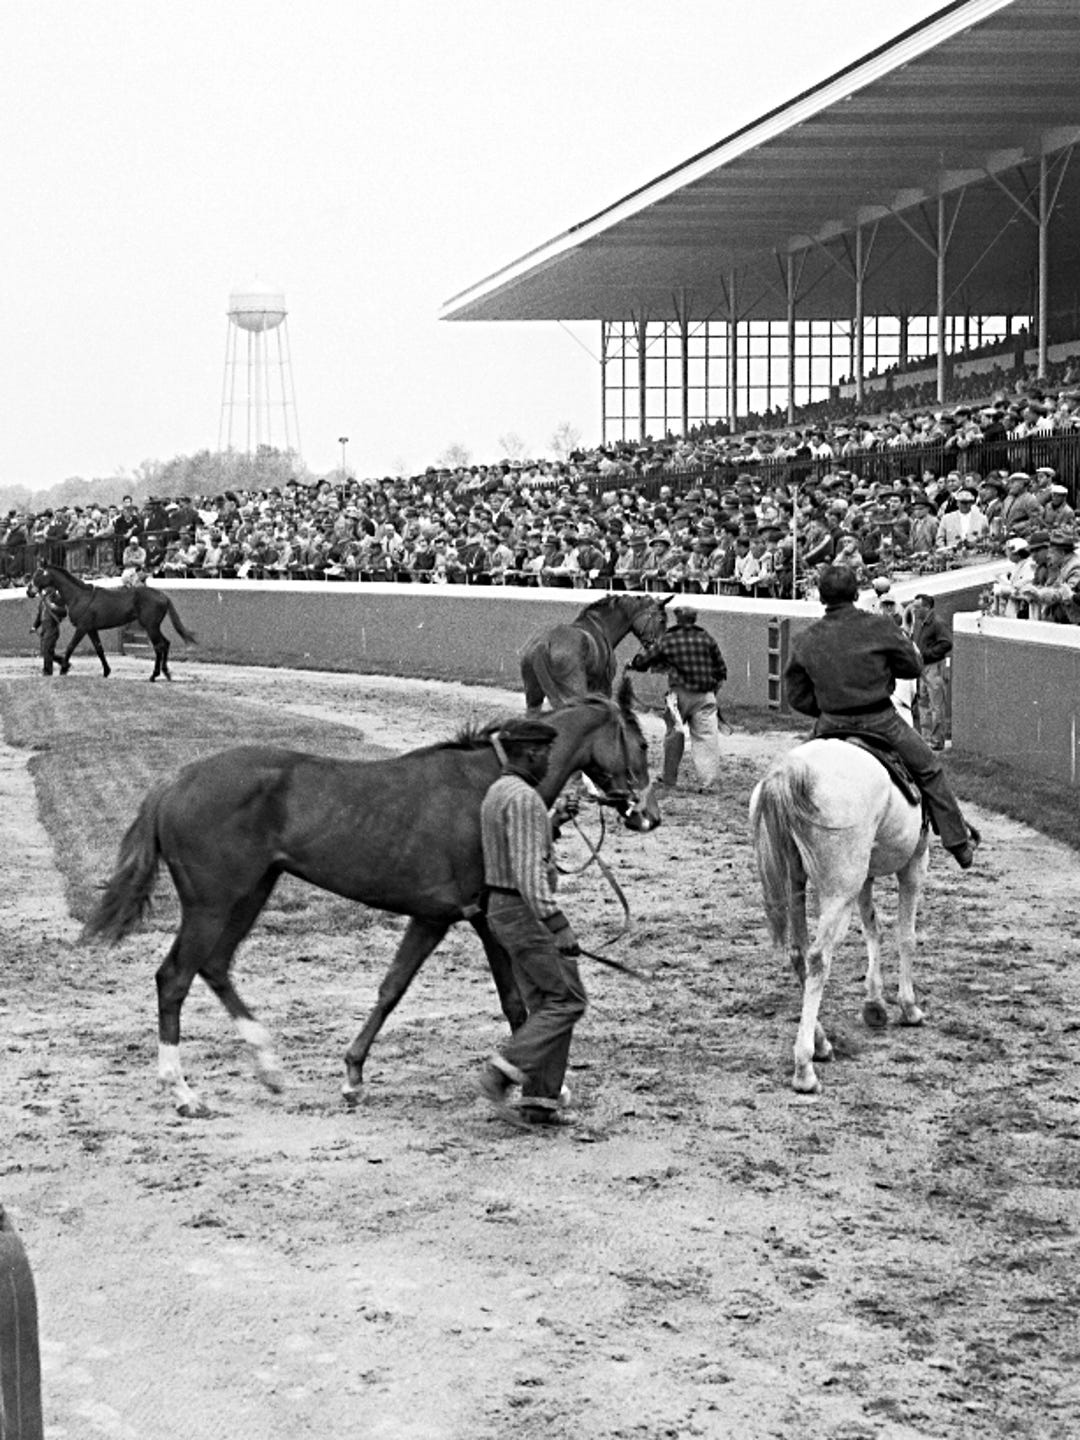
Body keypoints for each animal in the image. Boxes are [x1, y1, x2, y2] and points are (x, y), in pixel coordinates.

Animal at [754, 743, 933, 1088]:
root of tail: (792, 771)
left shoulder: (865, 878)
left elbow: (874, 930)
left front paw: (874, 1004)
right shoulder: (914, 865)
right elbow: (906, 937)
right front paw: (908, 1007)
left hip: (798, 884)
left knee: (798, 953)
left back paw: (822, 1043)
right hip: (840, 892)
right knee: (818, 958)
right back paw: (804, 1067)